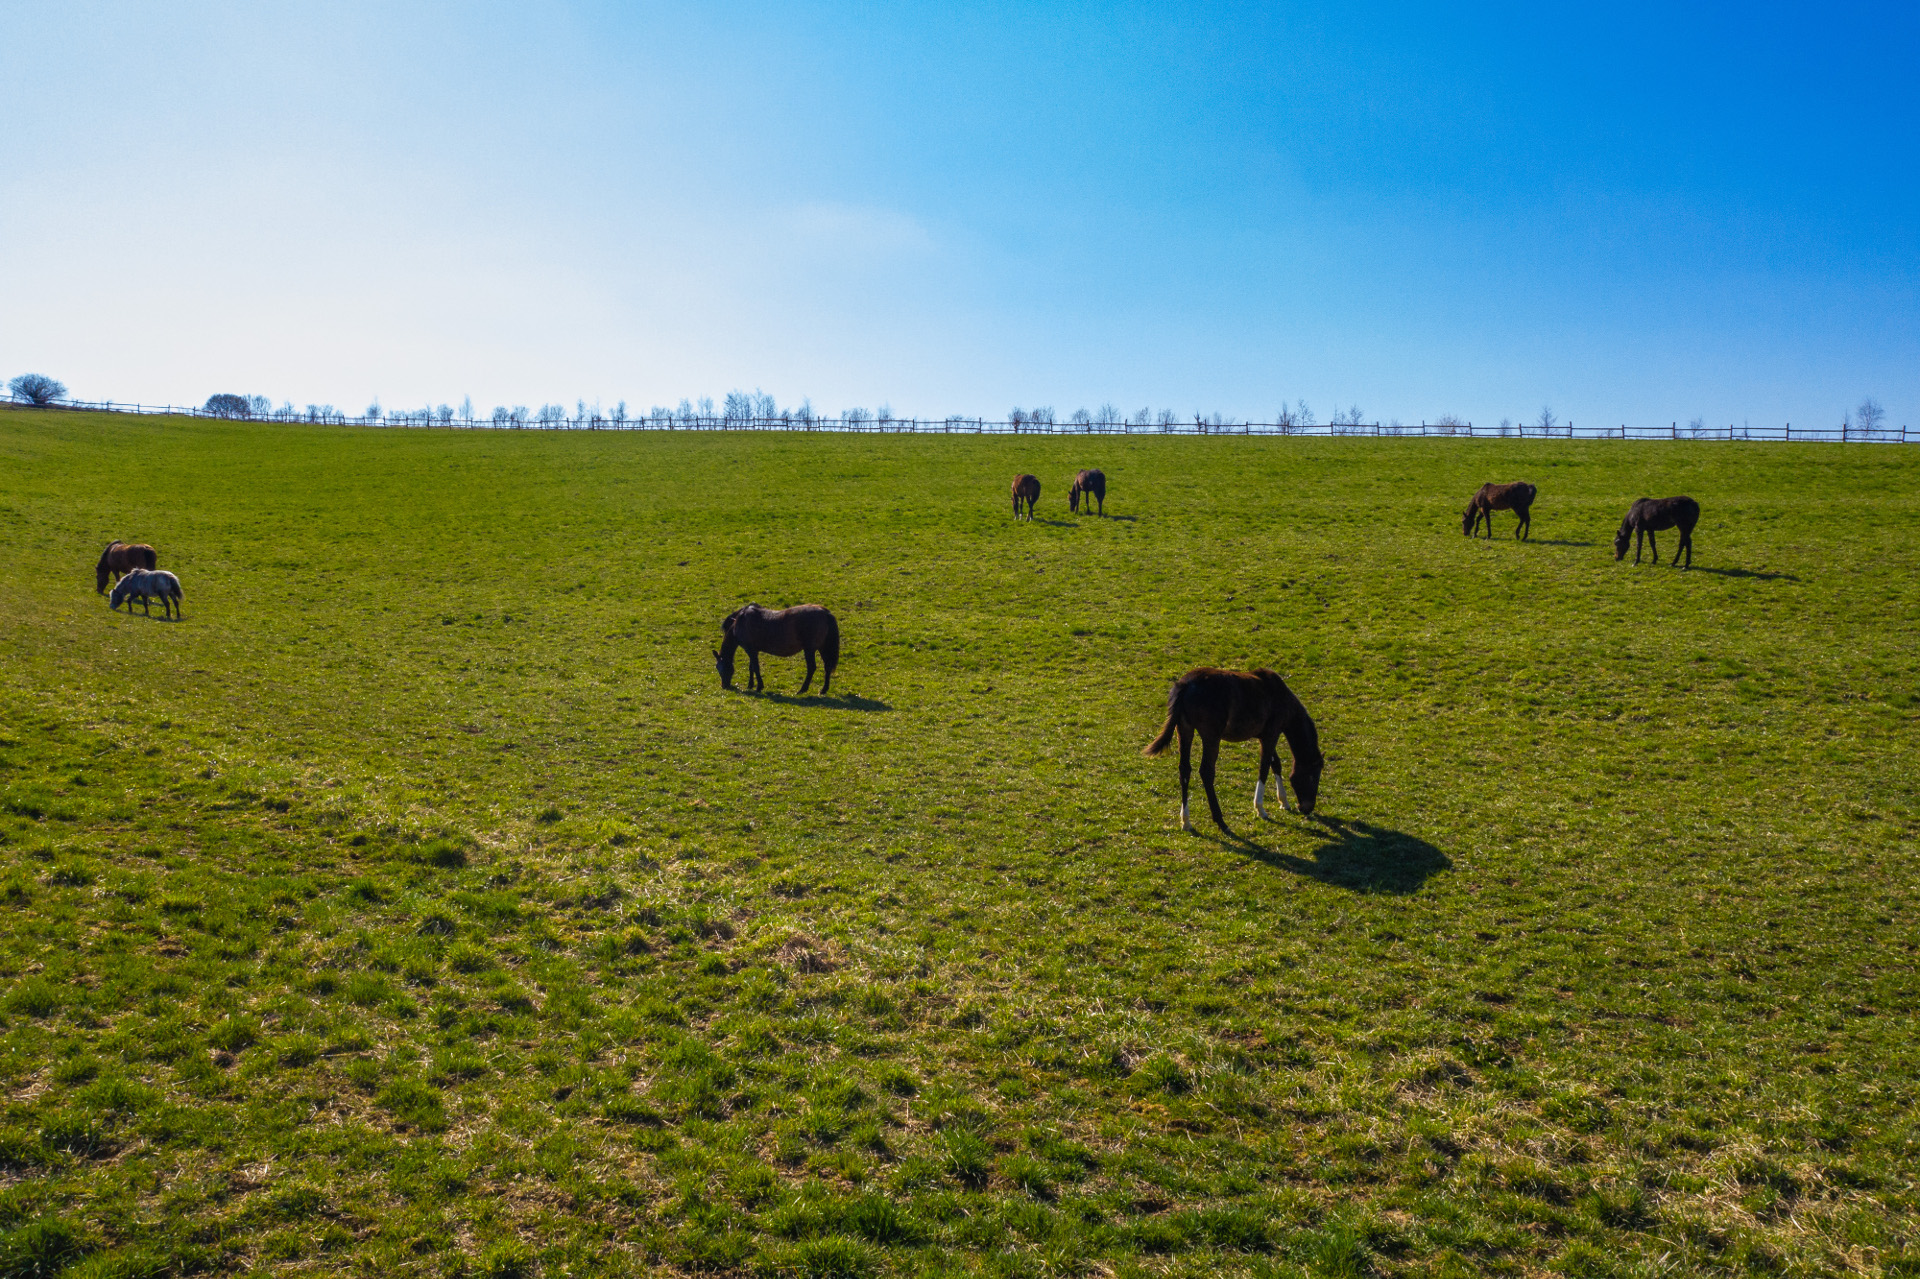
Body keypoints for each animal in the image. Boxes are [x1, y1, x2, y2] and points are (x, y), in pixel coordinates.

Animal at [1136, 660, 1320, 833]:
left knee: (1185, 770)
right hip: (1211, 737)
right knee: (1206, 772)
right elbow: (1264, 768)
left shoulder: (1264, 736)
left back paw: (1186, 821)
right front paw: (1260, 809)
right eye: (1313, 776)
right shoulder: (1271, 735)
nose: (1307, 808)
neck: (1279, 694)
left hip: (1184, 730)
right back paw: (1221, 821)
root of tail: (1185, 685)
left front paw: (1284, 801)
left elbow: (1276, 764)